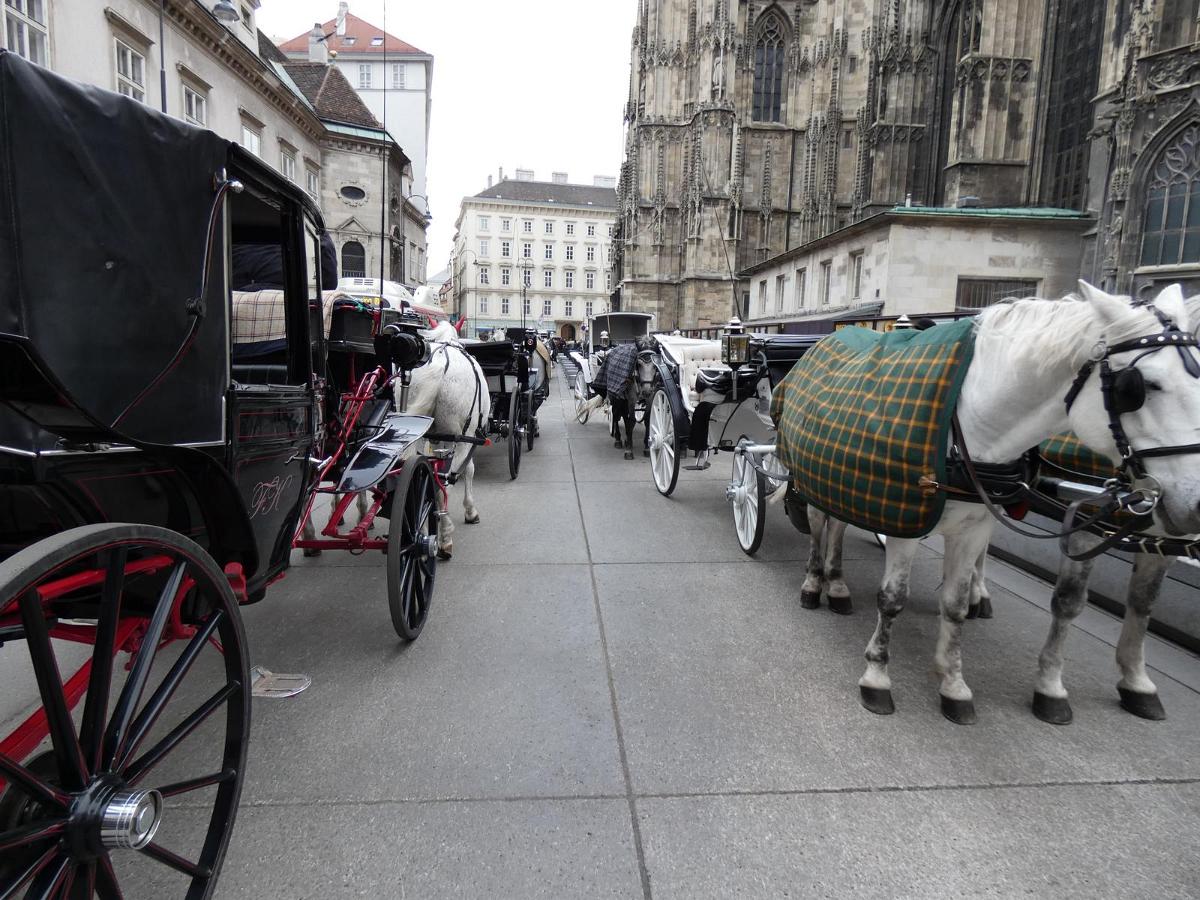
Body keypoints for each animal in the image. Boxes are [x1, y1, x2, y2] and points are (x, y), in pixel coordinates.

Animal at [787, 283, 1200, 725]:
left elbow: (955, 606)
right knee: (822, 524)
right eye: (1141, 386)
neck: (966, 422)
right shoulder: (909, 521)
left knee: (839, 525)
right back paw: (818, 582)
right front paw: (877, 677)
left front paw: (953, 683)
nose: (1195, 506)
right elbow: (893, 599)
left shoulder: (976, 523)